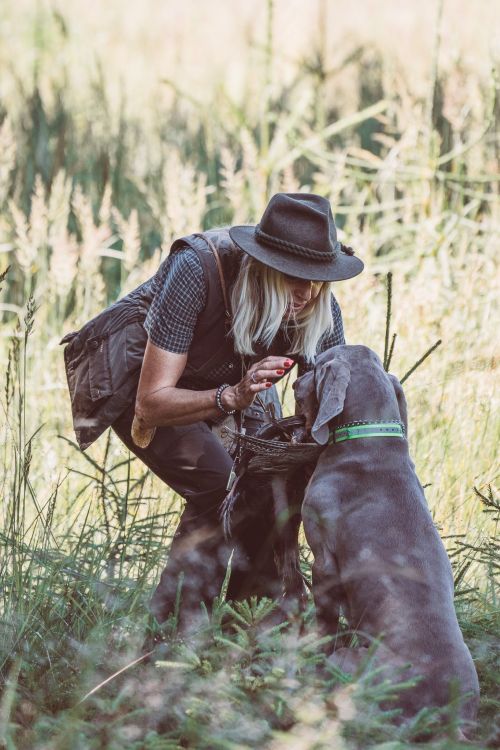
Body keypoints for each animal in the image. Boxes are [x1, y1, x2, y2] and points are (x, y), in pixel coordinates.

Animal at [294, 346, 478, 736]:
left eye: (316, 366)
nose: (295, 381)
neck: (369, 441)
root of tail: (446, 717)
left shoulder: (324, 560)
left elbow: (326, 624)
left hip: (351, 661)